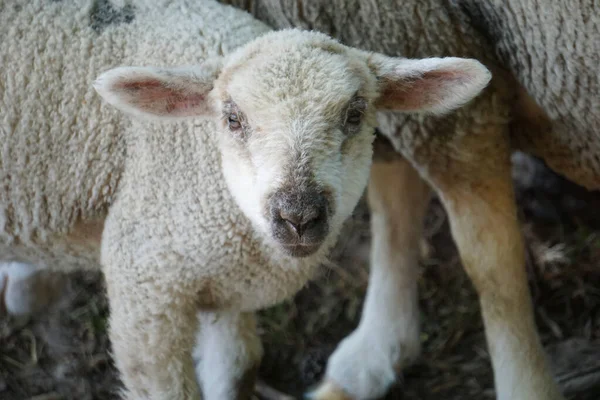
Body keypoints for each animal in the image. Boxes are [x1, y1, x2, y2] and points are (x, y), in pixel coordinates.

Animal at [0, 0, 492, 400]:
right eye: (233, 118)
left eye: (355, 115)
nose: (298, 215)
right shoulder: (144, 286)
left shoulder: (224, 289)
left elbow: (238, 370)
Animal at [221, 0, 600, 400]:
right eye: (232, 119)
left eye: (353, 115)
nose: (298, 217)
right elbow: (393, 213)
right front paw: (377, 351)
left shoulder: (444, 76)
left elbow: (493, 267)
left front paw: (526, 385)